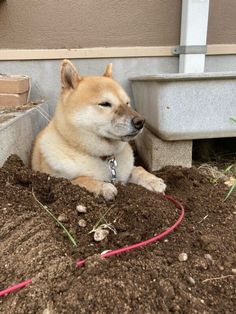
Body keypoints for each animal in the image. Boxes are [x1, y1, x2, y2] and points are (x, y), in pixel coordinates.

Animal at [31, 60, 166, 200]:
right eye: (105, 104)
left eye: (127, 103)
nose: (141, 122)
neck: (103, 157)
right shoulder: (58, 179)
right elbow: (81, 179)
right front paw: (103, 186)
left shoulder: (125, 172)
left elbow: (138, 169)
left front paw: (152, 180)